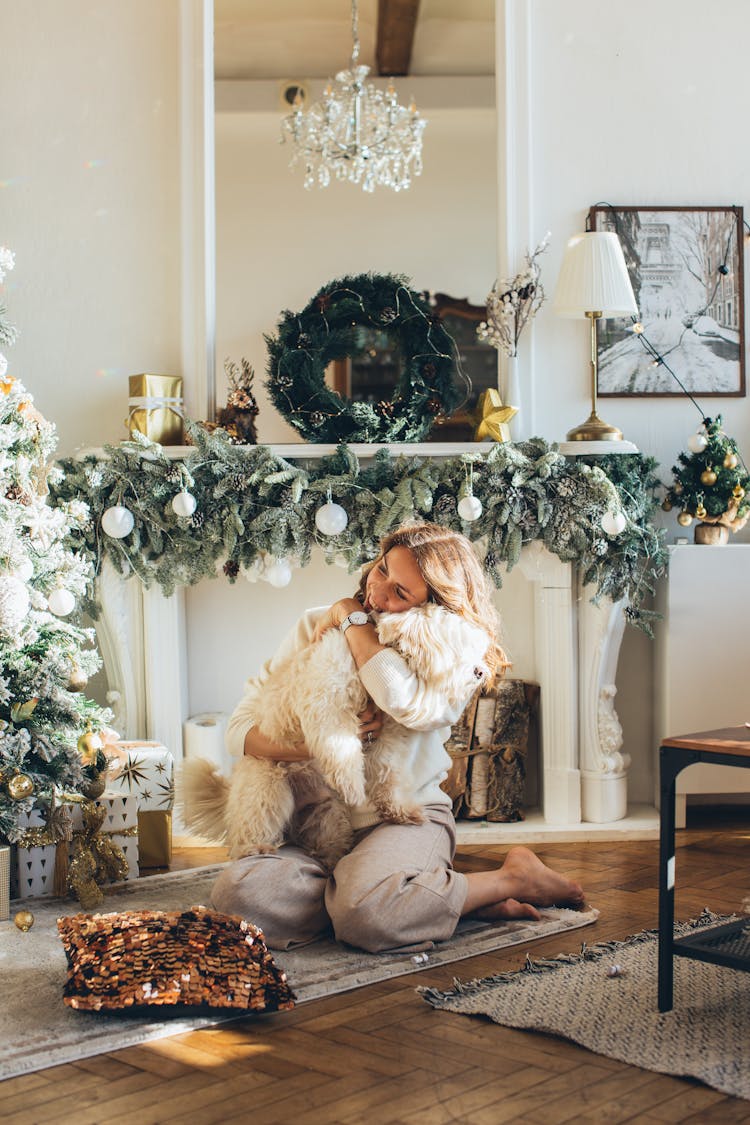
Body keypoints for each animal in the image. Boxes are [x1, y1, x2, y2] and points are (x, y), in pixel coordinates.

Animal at [178, 607, 490, 868]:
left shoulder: (385, 736)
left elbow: (386, 774)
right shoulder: (329, 706)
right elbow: (342, 749)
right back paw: (254, 847)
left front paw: (398, 810)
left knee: (326, 844)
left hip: (330, 815)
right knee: (248, 829)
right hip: (267, 789)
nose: (480, 672)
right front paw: (353, 787)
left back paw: (330, 861)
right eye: (457, 646)